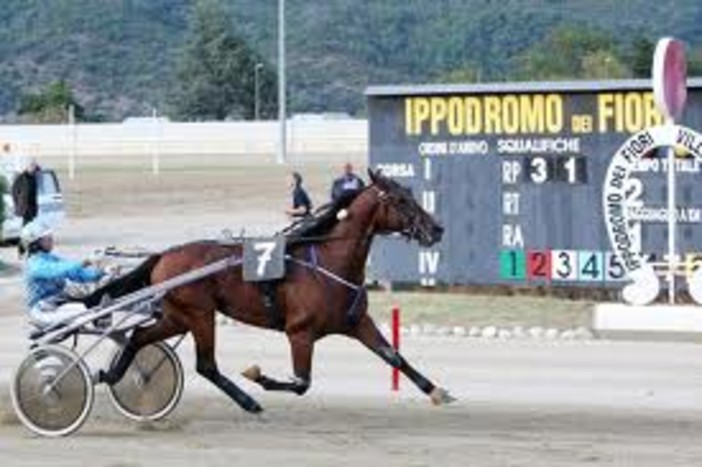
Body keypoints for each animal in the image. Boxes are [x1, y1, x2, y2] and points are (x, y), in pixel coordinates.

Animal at [89, 170, 456, 414]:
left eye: (410, 194)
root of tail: (164, 255)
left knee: (139, 336)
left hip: (179, 316)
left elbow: (393, 355)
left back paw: (112, 374)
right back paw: (248, 401)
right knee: (206, 365)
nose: (437, 229)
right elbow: (301, 383)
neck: (330, 263)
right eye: (400, 199)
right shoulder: (300, 333)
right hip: (200, 314)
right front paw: (258, 376)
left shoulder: (356, 322)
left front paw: (437, 391)